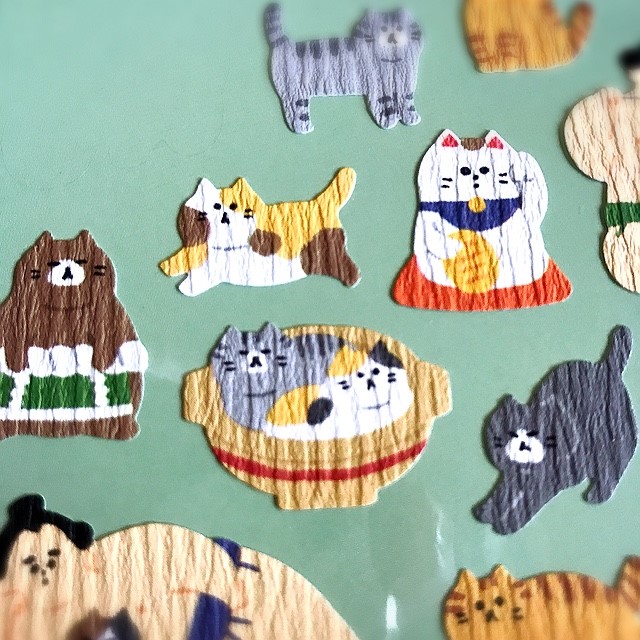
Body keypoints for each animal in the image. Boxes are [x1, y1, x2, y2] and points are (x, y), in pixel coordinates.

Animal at [0, 232, 147, 440]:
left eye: (81, 260)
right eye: (52, 262)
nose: (67, 267)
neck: (65, 307)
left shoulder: (111, 313)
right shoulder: (15, 312)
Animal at [160, 169, 360, 295]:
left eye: (234, 206)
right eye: (216, 206)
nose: (225, 214)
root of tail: (320, 202)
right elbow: (188, 261)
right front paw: (170, 267)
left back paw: (352, 277)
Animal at [265, 4, 423, 133]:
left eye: (400, 28)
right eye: (383, 28)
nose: (392, 37)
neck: (392, 61)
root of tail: (283, 42)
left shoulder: (406, 87)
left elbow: (408, 104)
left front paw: (411, 119)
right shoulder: (379, 87)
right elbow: (386, 107)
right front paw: (388, 122)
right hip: (295, 90)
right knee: (294, 111)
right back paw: (304, 128)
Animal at [394, 129, 572, 311]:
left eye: (485, 169)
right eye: (464, 170)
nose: (476, 177)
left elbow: (534, 206)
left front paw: (524, 165)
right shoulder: (429, 210)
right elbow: (433, 233)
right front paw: (454, 247)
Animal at [474, 326, 637, 535]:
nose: (520, 446)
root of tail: (607, 367)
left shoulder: (548, 475)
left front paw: (506, 521)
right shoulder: (516, 477)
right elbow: (506, 493)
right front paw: (490, 510)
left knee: (612, 469)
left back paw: (596, 494)